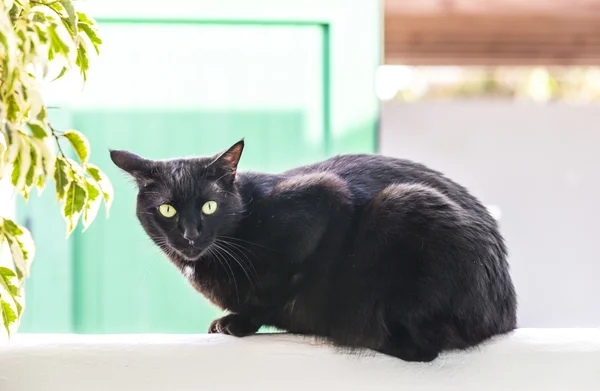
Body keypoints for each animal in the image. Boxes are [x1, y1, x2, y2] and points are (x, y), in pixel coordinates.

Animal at [111, 139, 516, 362]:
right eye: (167, 210)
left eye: (209, 206)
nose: (190, 234)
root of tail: (505, 313)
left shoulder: (324, 198)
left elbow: (280, 288)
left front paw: (240, 322)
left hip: (404, 202)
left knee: (420, 347)